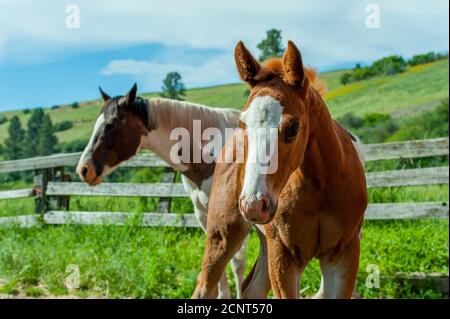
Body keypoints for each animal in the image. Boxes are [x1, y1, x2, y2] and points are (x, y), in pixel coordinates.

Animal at [192, 40, 366, 300]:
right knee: (204, 286)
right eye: (242, 123)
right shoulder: (284, 256)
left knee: (252, 290)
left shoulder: (343, 254)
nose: (253, 205)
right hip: (223, 237)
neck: (319, 186)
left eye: (293, 127)